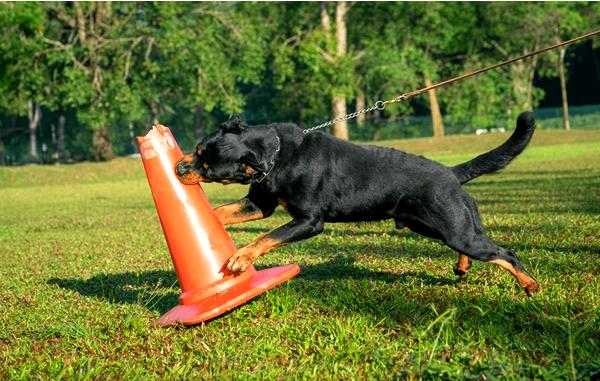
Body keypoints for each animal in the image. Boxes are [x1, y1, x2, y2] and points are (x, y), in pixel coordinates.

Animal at [176, 111, 540, 296]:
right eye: (197, 149)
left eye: (208, 167)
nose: (179, 168)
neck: (276, 156)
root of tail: (450, 172)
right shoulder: (260, 204)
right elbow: (223, 212)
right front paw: (209, 224)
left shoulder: (308, 221)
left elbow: (267, 237)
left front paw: (239, 258)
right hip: (435, 226)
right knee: (473, 246)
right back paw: (463, 267)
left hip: (451, 226)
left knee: (505, 253)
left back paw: (529, 284)